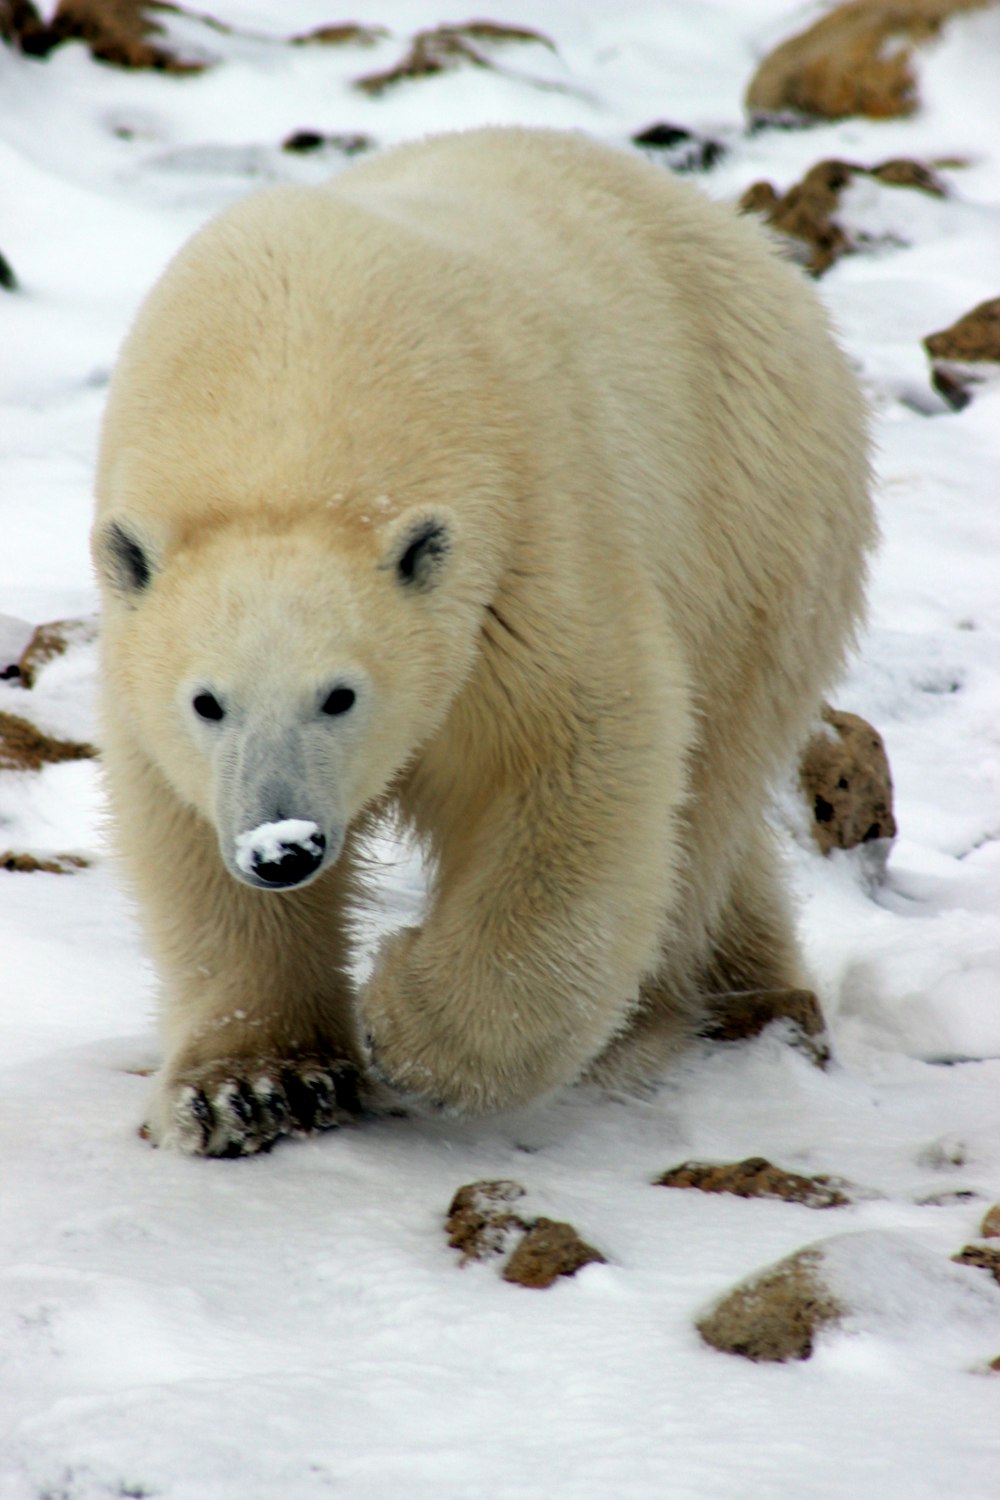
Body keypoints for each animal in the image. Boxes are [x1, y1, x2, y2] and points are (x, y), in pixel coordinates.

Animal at [95, 129, 875, 1158]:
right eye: (206, 701)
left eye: (340, 694)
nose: (283, 847)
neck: (290, 399)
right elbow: (182, 834)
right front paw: (254, 1087)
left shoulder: (523, 552)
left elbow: (578, 761)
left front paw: (409, 1022)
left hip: (756, 524)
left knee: (707, 792)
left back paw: (661, 1016)